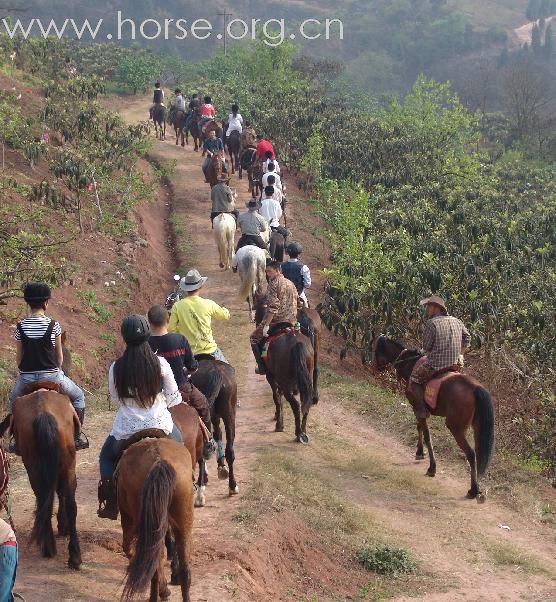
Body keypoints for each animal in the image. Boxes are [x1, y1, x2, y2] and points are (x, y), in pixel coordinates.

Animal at [0, 384, 82, 568]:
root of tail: (44, 413)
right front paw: (62, 525)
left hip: (36, 467)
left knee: (46, 497)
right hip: (65, 465)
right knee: (66, 502)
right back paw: (70, 554)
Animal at [118, 436, 194, 600]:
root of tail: (159, 460)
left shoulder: (128, 520)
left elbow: (129, 549)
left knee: (152, 563)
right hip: (183, 521)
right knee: (184, 569)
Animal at [370, 336, 496, 500]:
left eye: (375, 350)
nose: (374, 368)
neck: (410, 363)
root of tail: (476, 388)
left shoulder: (417, 406)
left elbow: (426, 435)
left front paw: (432, 467)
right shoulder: (418, 408)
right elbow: (419, 428)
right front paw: (419, 452)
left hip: (455, 427)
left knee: (471, 453)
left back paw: (473, 490)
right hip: (477, 427)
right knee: (478, 453)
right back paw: (477, 488)